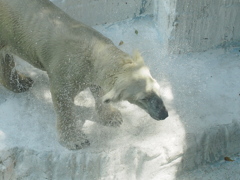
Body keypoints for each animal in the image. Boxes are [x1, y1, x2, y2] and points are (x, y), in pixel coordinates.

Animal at [0, 0, 168, 149]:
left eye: (158, 89)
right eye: (143, 98)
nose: (164, 114)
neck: (93, 52)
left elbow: (99, 90)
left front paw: (113, 117)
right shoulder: (66, 70)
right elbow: (63, 100)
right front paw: (76, 140)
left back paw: (22, 83)